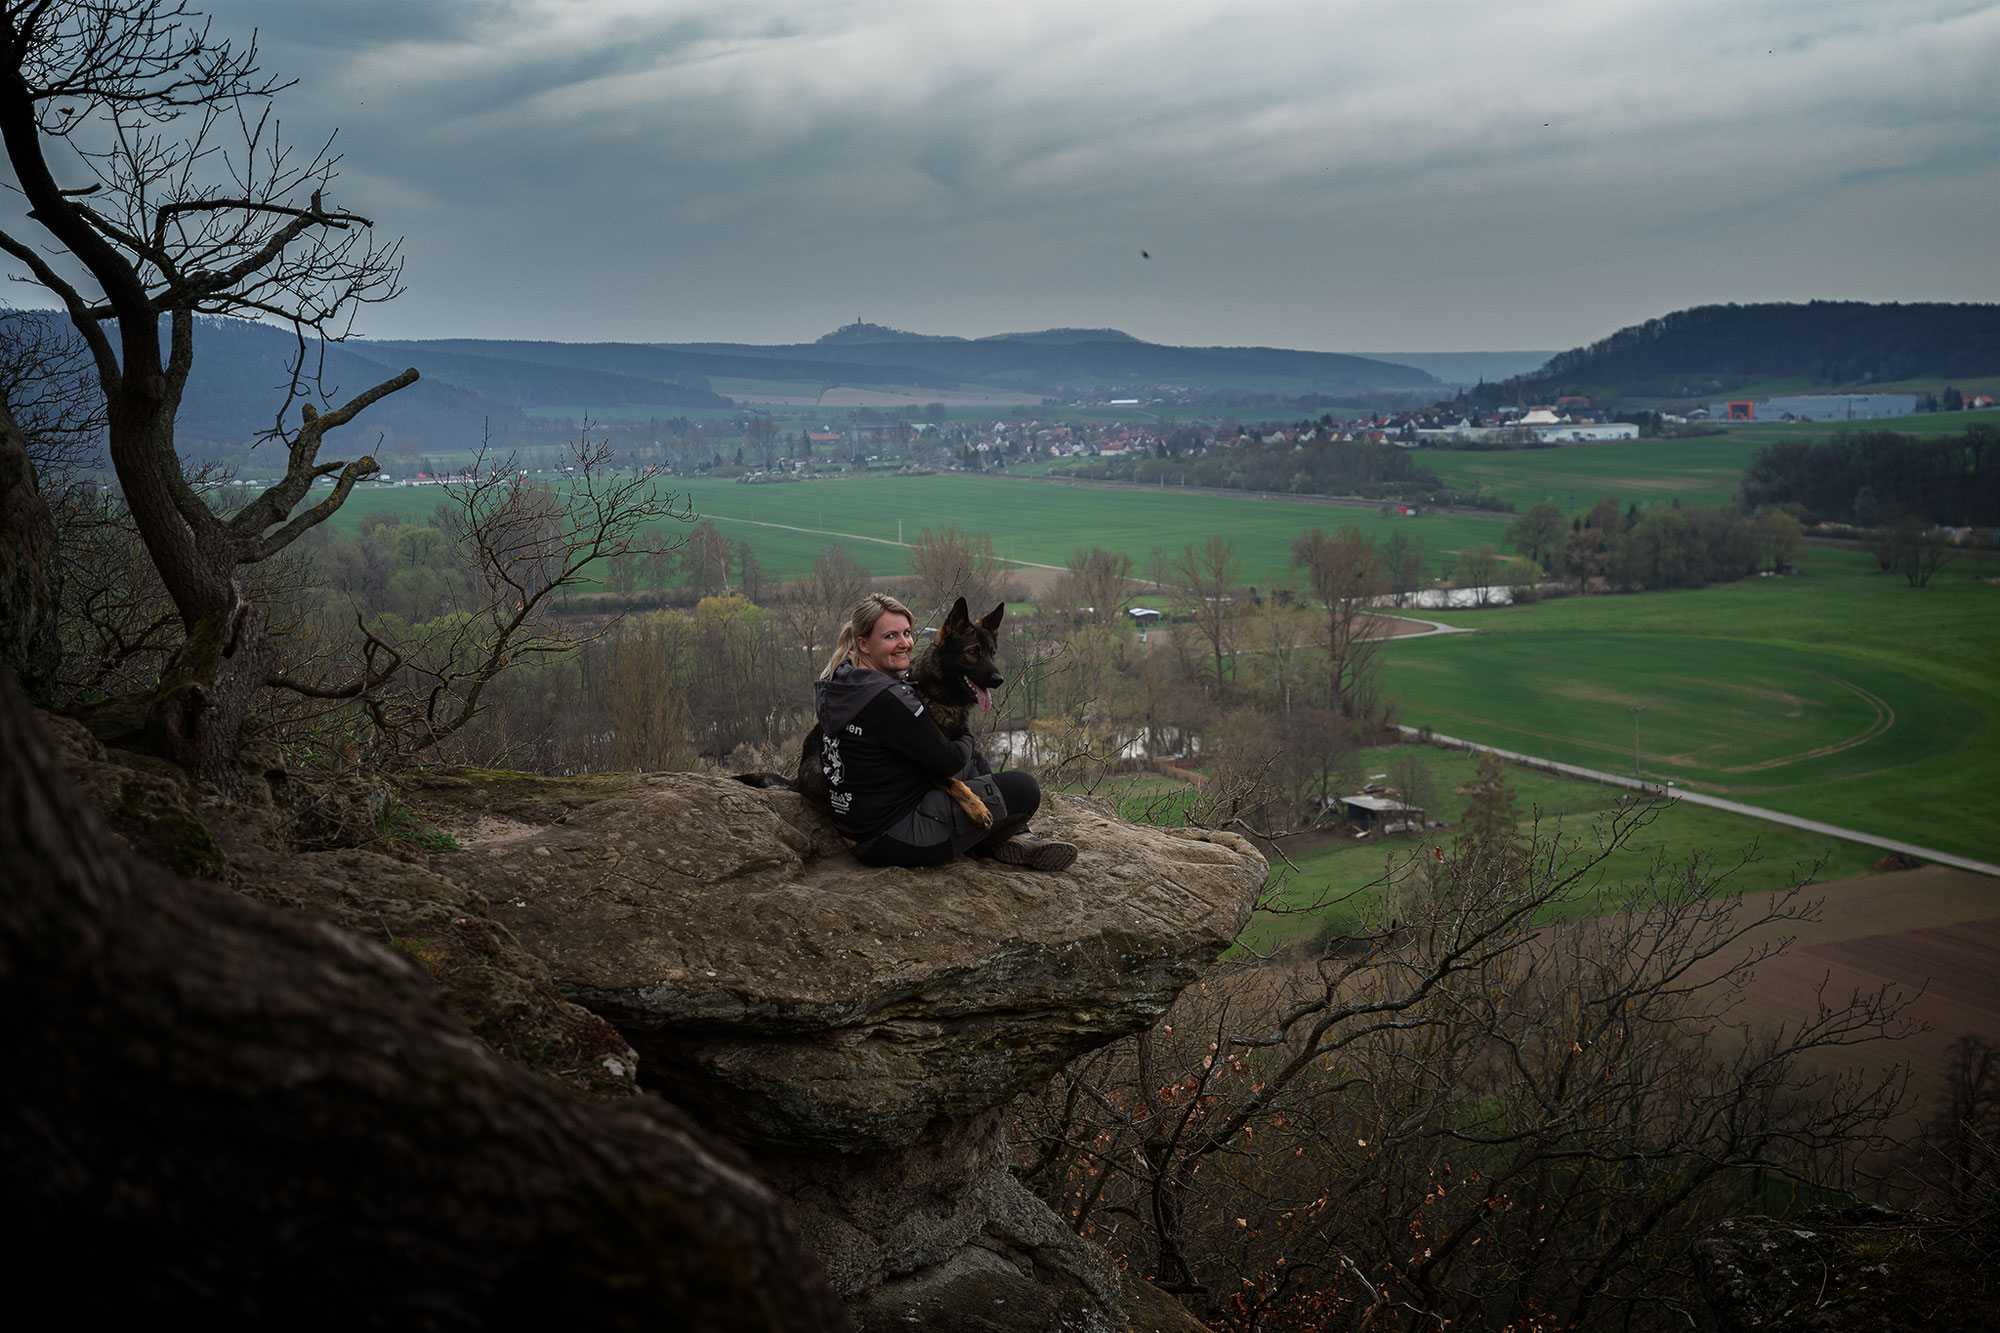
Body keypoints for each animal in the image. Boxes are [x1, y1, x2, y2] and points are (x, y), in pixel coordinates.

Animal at [796, 596, 1008, 824]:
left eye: (992, 652)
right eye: (972, 652)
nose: (999, 680)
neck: (935, 693)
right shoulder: (934, 766)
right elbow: (954, 782)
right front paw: (976, 806)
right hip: (817, 768)